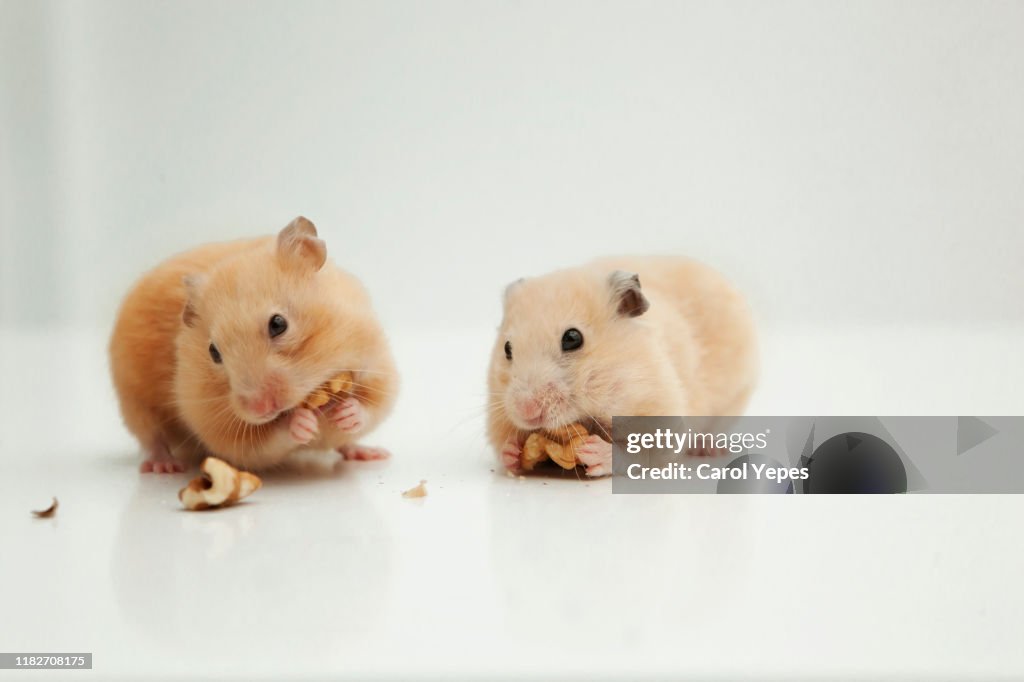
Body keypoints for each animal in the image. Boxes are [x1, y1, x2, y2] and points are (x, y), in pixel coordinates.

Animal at [109, 217, 398, 472]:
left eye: (278, 324)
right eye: (213, 352)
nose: (259, 409)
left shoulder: (378, 365)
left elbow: (372, 407)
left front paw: (347, 413)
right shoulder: (215, 424)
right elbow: (261, 442)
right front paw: (300, 423)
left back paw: (369, 453)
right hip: (134, 404)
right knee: (152, 439)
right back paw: (164, 466)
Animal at [487, 256, 757, 477]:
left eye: (572, 338)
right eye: (507, 348)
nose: (526, 412)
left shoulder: (661, 416)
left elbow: (634, 452)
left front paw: (594, 451)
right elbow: (503, 444)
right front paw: (513, 451)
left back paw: (709, 449)